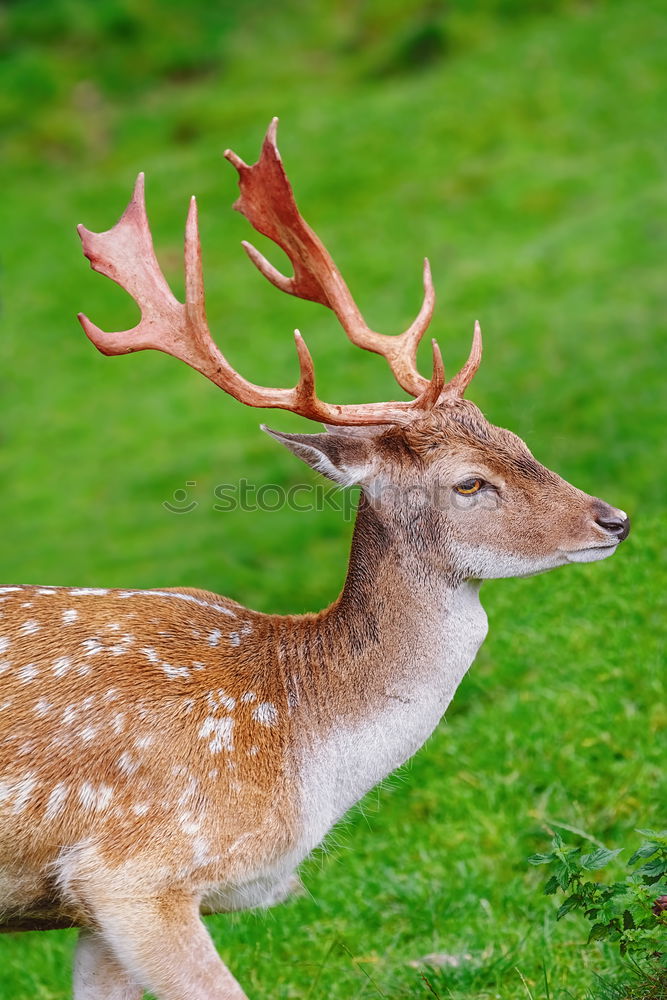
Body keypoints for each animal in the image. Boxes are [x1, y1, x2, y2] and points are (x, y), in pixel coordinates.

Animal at [0, 119, 628, 1000]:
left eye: (518, 441)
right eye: (469, 483)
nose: (614, 520)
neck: (301, 748)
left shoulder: (91, 912)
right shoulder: (132, 870)